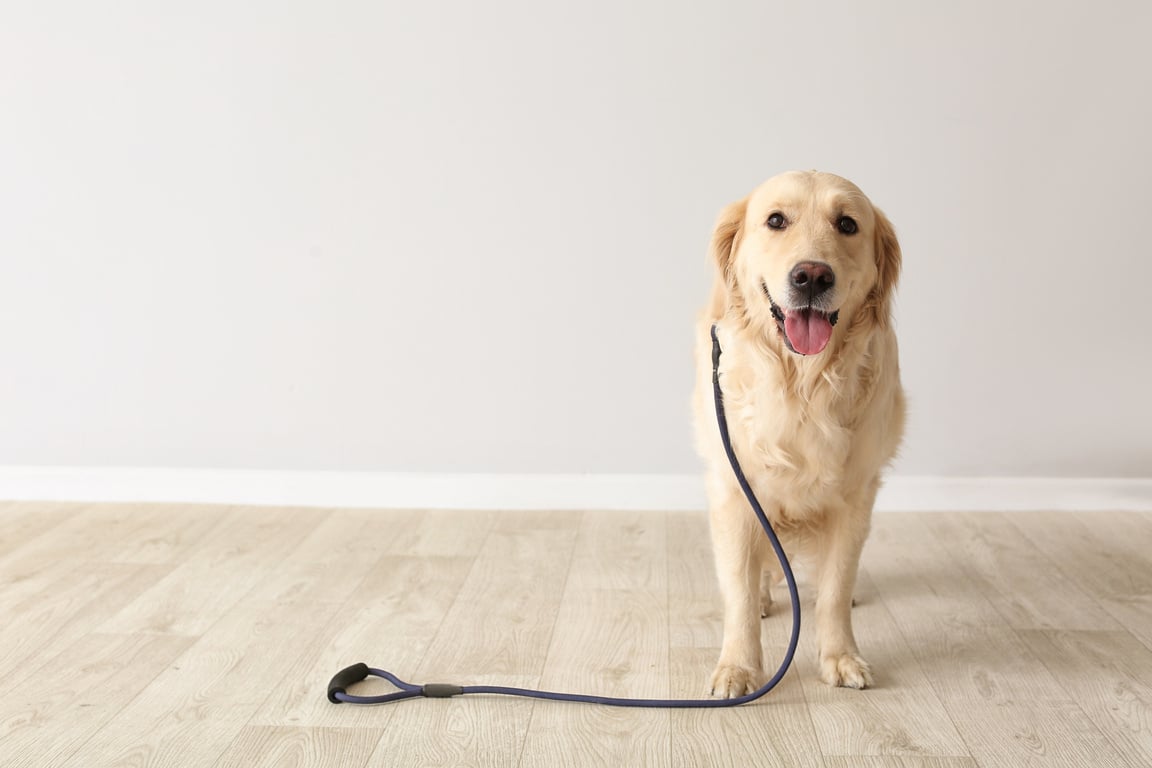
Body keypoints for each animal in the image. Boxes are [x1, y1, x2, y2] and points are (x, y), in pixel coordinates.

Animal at [691, 169, 907, 695]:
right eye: (775, 220)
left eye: (847, 224)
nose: (812, 275)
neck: (802, 384)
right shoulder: (734, 491)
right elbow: (739, 592)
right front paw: (738, 668)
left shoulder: (855, 497)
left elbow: (834, 588)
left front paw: (841, 657)